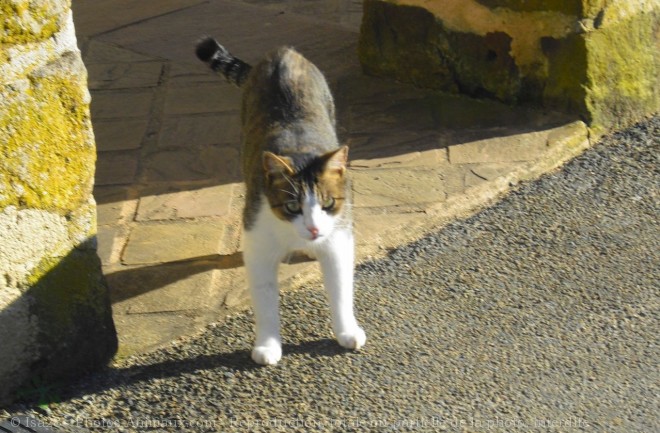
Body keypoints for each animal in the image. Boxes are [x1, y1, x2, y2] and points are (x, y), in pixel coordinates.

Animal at [196, 37, 366, 364]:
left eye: (327, 204)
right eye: (292, 206)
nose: (313, 229)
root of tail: (281, 53)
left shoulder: (339, 239)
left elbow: (341, 289)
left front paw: (347, 330)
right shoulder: (257, 244)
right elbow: (264, 302)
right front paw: (268, 345)